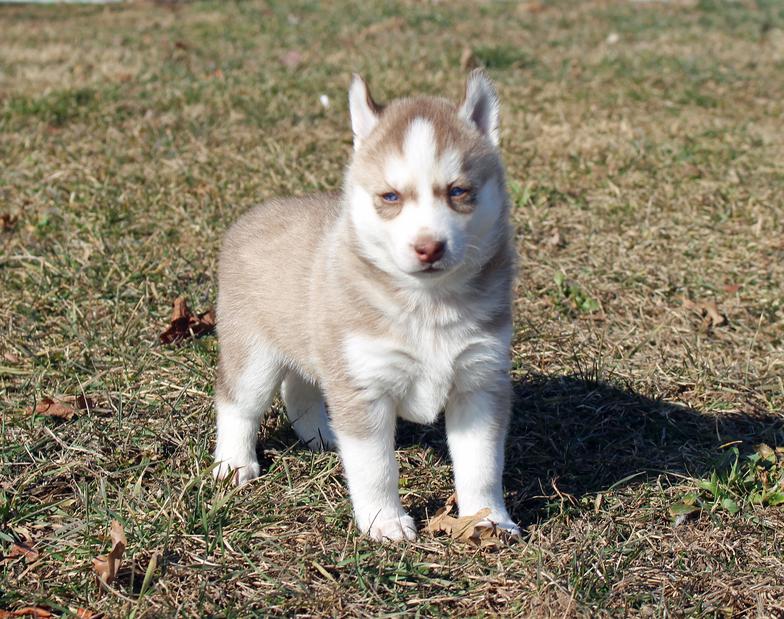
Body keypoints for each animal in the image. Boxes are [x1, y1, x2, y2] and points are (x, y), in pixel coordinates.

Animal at [214, 69, 520, 544]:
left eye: (458, 192)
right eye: (391, 197)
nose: (429, 247)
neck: (427, 304)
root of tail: (251, 215)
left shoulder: (480, 380)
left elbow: (482, 463)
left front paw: (487, 518)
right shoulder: (365, 387)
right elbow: (375, 466)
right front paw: (384, 522)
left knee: (298, 387)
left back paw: (322, 435)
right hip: (253, 355)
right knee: (236, 403)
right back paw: (234, 463)